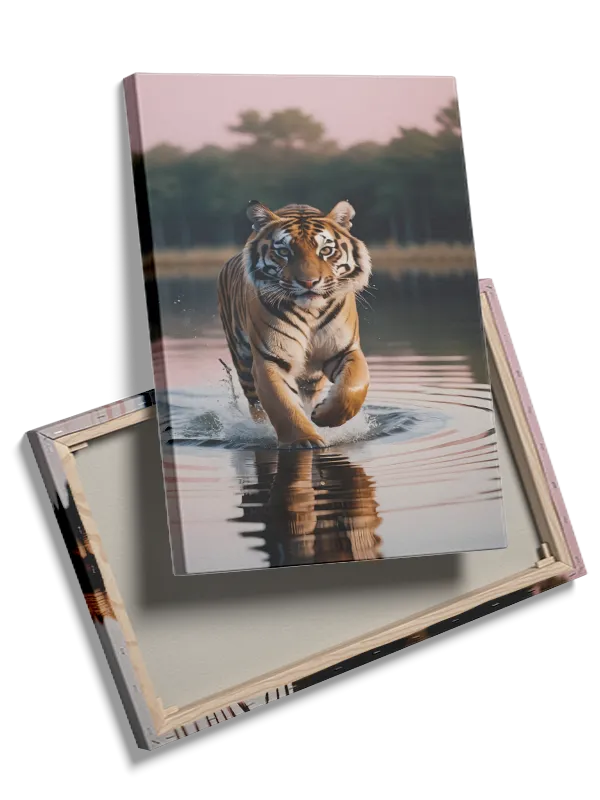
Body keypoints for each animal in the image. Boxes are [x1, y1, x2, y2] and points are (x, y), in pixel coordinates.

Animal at [217, 200, 372, 449]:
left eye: (325, 251)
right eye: (283, 252)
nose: (309, 282)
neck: (311, 313)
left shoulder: (345, 350)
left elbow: (353, 386)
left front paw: (324, 417)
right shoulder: (271, 358)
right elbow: (282, 404)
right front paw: (304, 440)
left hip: (311, 377)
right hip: (242, 362)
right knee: (256, 406)